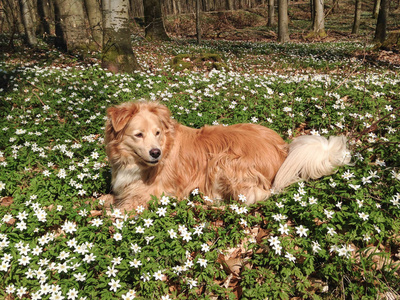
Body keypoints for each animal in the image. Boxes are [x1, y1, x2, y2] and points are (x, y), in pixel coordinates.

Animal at [105, 101, 350, 211]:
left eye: (157, 133)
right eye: (139, 135)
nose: (156, 153)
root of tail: (283, 149)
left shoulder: (152, 194)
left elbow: (120, 209)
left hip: (223, 161)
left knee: (255, 195)